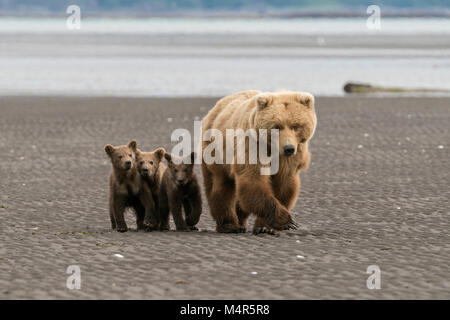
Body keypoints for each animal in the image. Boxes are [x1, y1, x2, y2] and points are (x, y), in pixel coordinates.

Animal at [200, 90, 316, 235]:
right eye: (277, 127)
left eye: (295, 126)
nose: (288, 148)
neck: (273, 149)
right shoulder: (253, 145)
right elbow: (253, 179)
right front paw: (287, 221)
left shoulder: (291, 158)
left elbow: (283, 185)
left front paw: (266, 228)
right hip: (215, 151)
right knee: (221, 187)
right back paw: (229, 225)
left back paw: (240, 221)